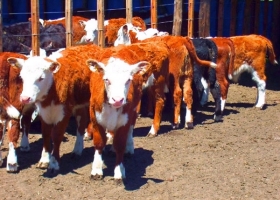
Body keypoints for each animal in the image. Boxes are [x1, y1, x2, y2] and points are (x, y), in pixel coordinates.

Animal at [6, 44, 101, 173]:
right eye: (22, 76)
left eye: (41, 78)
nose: (25, 98)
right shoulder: (44, 112)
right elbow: (46, 134)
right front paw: (44, 160)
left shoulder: (64, 112)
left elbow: (56, 136)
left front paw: (54, 163)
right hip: (80, 103)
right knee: (81, 122)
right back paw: (77, 149)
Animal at [86, 41, 168, 182]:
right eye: (106, 79)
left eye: (128, 80)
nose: (118, 99)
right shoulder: (95, 117)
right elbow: (99, 143)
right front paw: (96, 170)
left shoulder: (125, 118)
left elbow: (120, 144)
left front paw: (119, 171)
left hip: (148, 94)